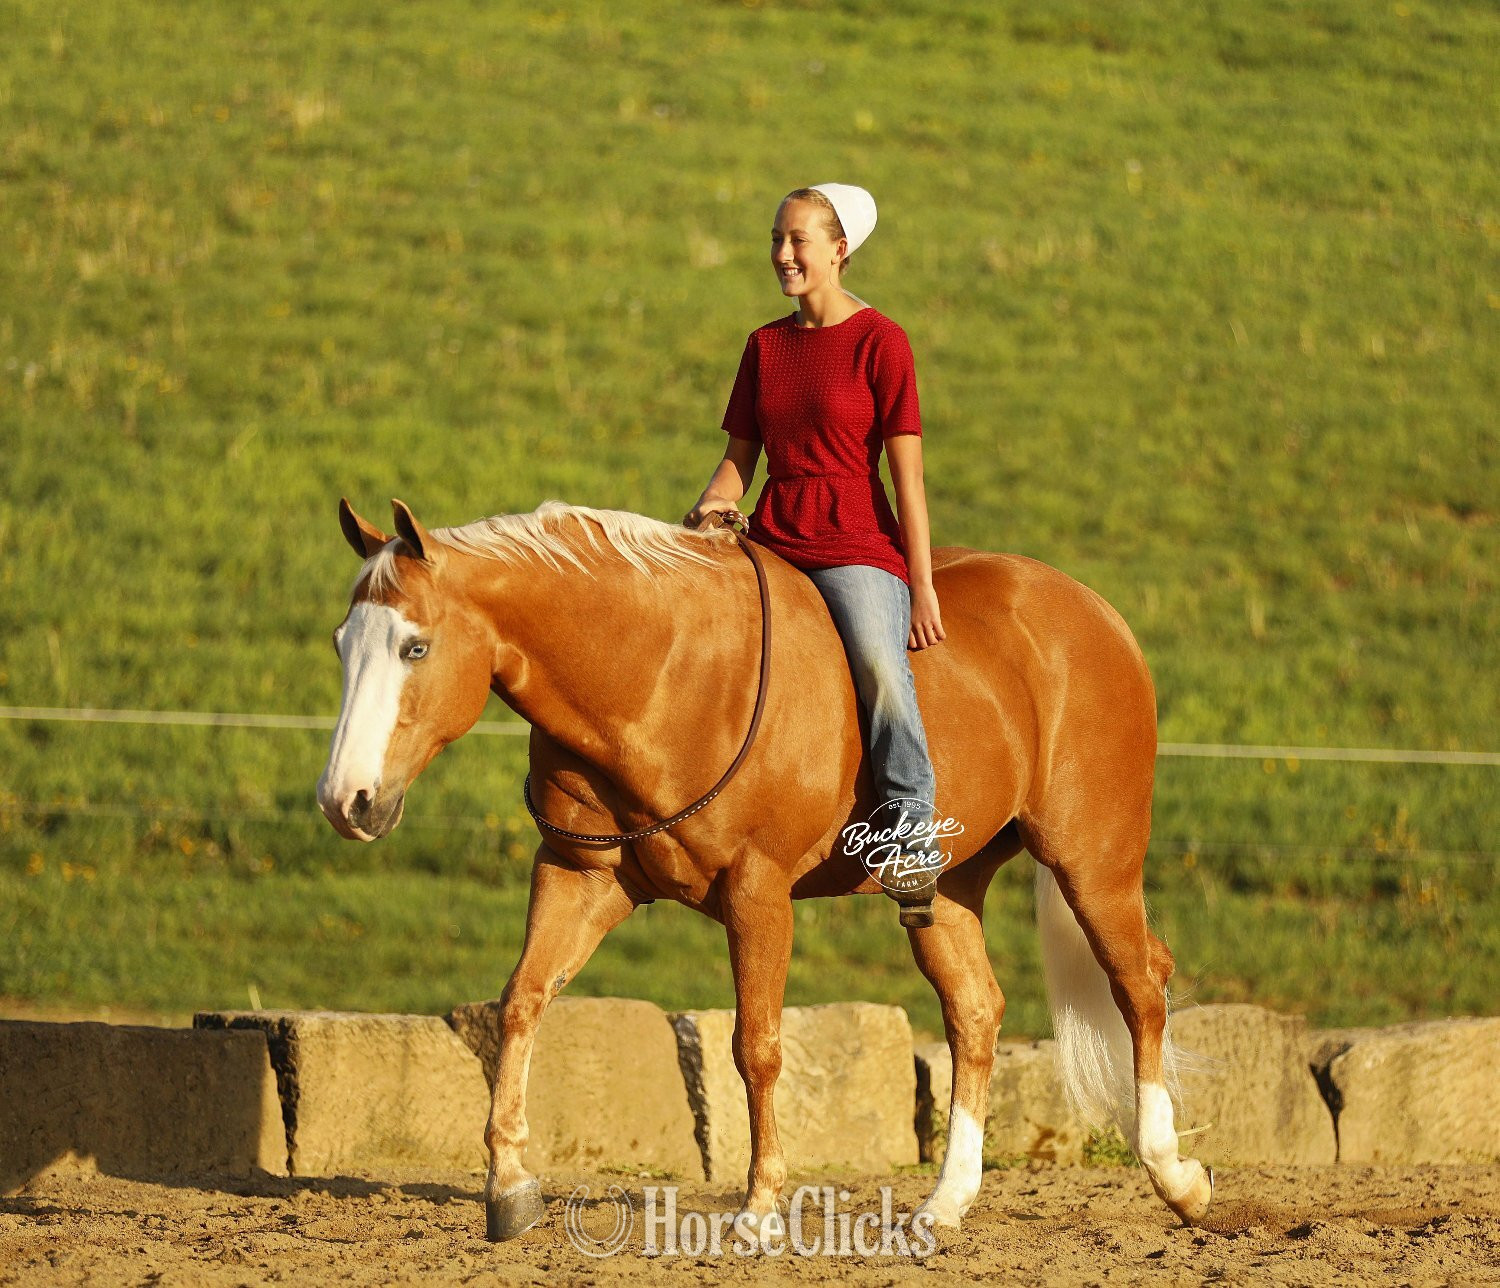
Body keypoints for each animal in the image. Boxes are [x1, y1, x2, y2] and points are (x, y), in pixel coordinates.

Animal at [316, 497, 1213, 1244]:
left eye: (416, 645)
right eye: (341, 645)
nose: (345, 799)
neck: (660, 675)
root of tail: (1095, 615)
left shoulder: (758, 892)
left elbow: (757, 1046)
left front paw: (758, 1210)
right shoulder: (578, 877)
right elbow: (520, 1004)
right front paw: (508, 1187)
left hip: (1093, 861)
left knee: (1140, 983)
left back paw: (1178, 1181)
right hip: (947, 884)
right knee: (976, 1011)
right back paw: (945, 1203)